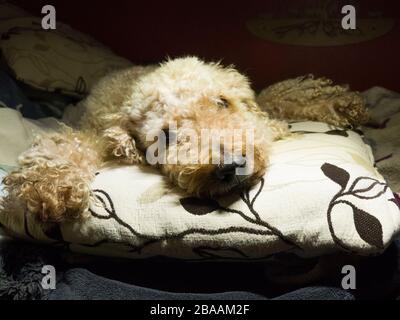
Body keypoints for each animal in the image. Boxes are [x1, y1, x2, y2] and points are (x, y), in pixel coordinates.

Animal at [1, 57, 368, 222]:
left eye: (222, 103)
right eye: (166, 136)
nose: (230, 166)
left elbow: (280, 99)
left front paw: (337, 104)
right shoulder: (94, 136)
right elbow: (64, 148)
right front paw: (51, 185)